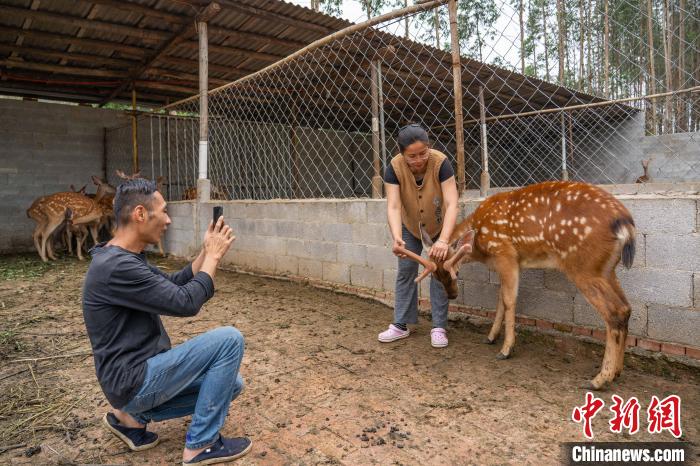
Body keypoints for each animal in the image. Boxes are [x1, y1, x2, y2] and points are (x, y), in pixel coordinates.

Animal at [396, 181, 636, 390]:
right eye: (436, 277)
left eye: (456, 271)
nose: (453, 295)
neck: (481, 243)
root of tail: (626, 225)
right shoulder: (506, 262)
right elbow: (500, 300)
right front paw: (491, 337)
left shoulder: (506, 254)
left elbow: (509, 301)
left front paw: (506, 349)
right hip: (606, 268)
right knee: (626, 308)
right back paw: (617, 372)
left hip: (583, 265)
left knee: (614, 311)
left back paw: (599, 379)